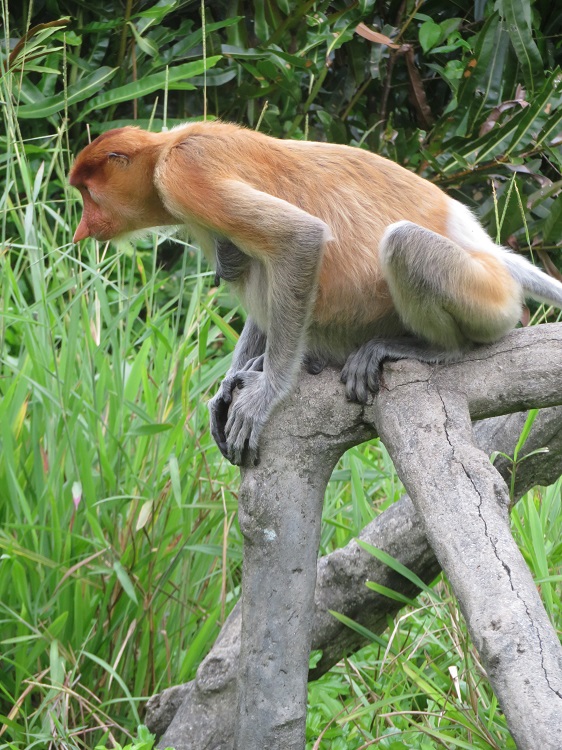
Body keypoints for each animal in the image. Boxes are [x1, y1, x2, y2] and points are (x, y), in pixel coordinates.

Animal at [69, 121, 562, 466]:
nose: (81, 228)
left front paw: (266, 393)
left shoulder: (186, 173)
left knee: (402, 243)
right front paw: (228, 384)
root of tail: (487, 250)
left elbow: (300, 238)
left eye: (89, 193)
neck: (164, 150)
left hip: (488, 299)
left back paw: (431, 349)